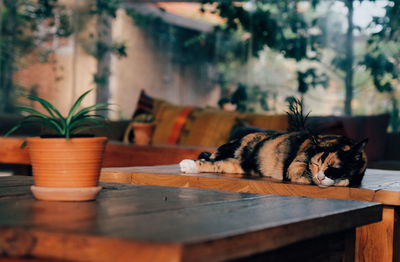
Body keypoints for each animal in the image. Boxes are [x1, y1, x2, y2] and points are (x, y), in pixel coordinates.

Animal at [180, 100, 368, 188]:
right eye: (315, 163)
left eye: (333, 167)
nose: (321, 176)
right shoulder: (295, 167)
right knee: (211, 157)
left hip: (238, 164)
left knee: (217, 162)